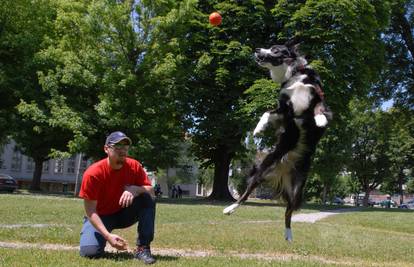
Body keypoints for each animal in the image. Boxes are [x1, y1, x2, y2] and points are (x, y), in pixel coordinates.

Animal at [225, 42, 332, 243]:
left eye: (275, 49)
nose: (257, 50)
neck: (293, 75)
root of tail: (283, 168)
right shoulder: (284, 110)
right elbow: (266, 112)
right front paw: (258, 129)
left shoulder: (317, 94)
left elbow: (319, 107)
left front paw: (320, 119)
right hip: (260, 173)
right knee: (246, 194)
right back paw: (230, 208)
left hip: (297, 188)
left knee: (288, 212)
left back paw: (288, 234)